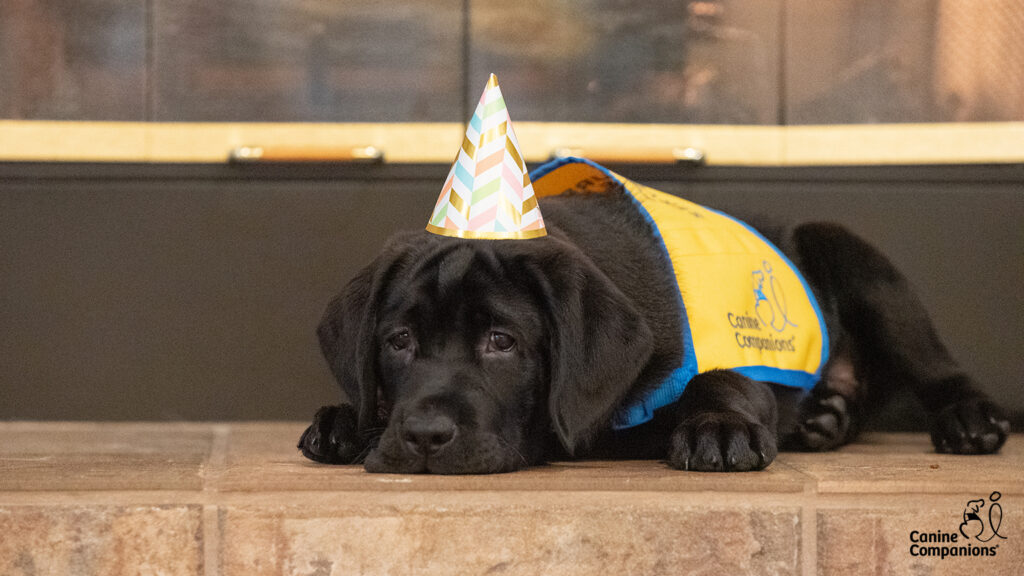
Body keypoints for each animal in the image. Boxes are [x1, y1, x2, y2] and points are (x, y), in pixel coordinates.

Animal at [296, 180, 1007, 471]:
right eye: (399, 341)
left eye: (503, 343)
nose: (422, 437)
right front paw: (345, 421)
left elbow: (722, 382)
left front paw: (718, 426)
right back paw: (828, 414)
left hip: (854, 256)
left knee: (937, 366)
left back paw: (967, 417)